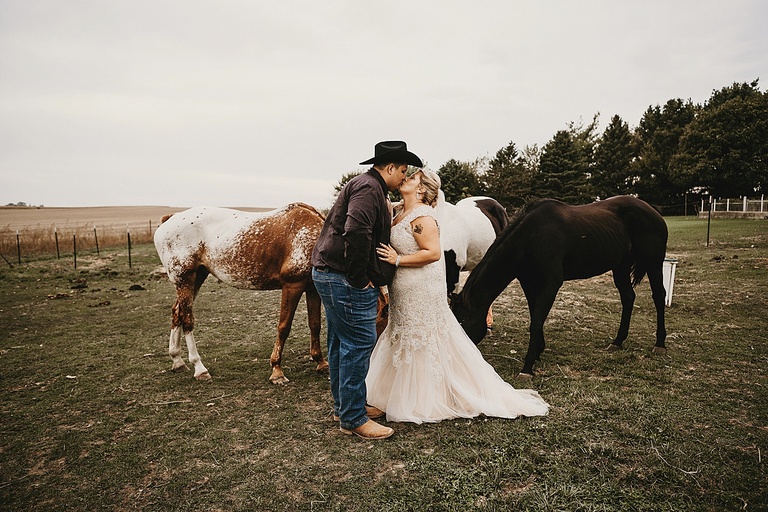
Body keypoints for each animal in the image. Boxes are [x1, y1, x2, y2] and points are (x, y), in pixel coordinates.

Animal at [153, 203, 327, 384]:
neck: (313, 238)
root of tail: (169, 219)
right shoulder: (292, 286)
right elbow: (284, 327)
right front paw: (277, 370)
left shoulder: (313, 288)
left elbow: (315, 324)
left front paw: (321, 363)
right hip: (185, 280)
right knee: (187, 319)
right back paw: (199, 368)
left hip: (196, 278)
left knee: (177, 313)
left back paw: (177, 361)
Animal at [450, 195, 669, 378]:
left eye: (462, 322)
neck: (532, 237)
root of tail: (653, 210)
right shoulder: (529, 283)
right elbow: (534, 317)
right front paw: (538, 351)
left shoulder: (551, 284)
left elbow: (536, 322)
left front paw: (527, 367)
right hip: (620, 267)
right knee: (628, 297)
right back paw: (617, 341)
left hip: (654, 263)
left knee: (659, 296)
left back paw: (660, 344)